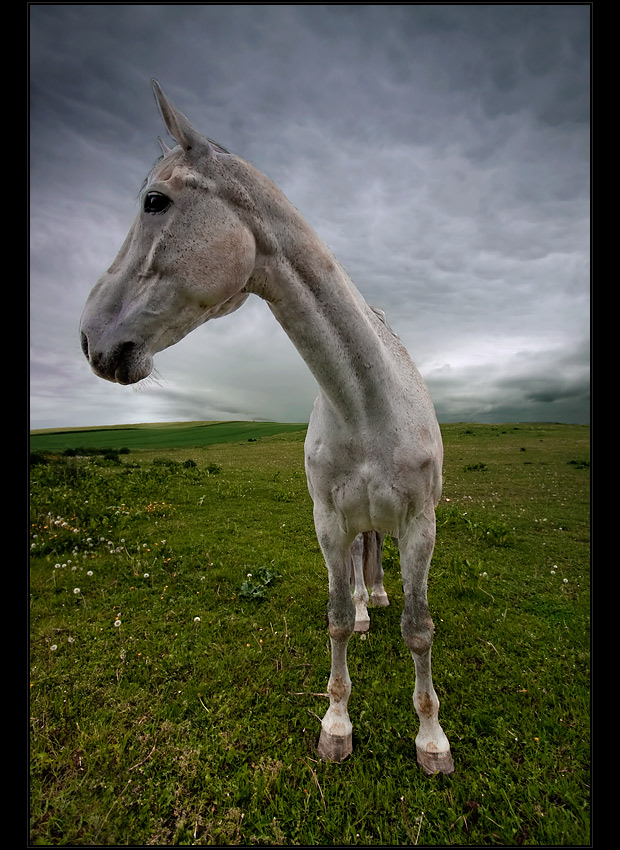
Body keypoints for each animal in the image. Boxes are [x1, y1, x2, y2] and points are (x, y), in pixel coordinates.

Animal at [80, 81, 452, 776]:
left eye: (154, 200)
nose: (89, 338)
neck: (366, 403)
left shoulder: (421, 524)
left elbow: (419, 629)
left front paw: (431, 739)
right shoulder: (328, 521)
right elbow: (335, 620)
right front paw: (337, 724)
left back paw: (377, 598)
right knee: (361, 556)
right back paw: (365, 604)